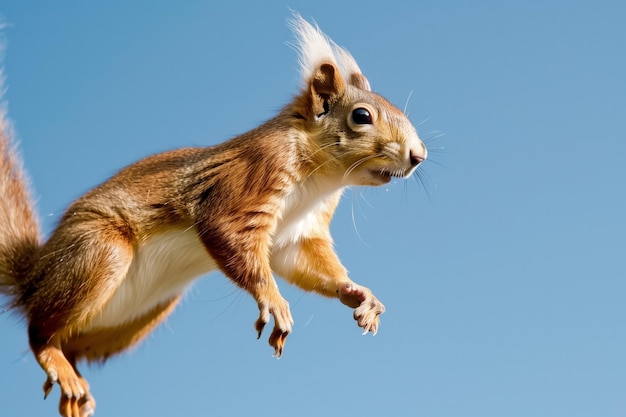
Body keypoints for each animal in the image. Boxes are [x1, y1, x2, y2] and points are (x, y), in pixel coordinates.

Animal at [0, 13, 424, 416]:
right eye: (362, 116)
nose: (418, 156)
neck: (321, 181)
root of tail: (33, 277)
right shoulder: (252, 175)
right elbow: (227, 232)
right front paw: (273, 300)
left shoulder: (300, 232)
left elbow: (303, 263)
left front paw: (358, 294)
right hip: (99, 253)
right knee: (39, 332)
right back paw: (52, 357)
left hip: (140, 315)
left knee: (69, 342)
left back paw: (72, 380)